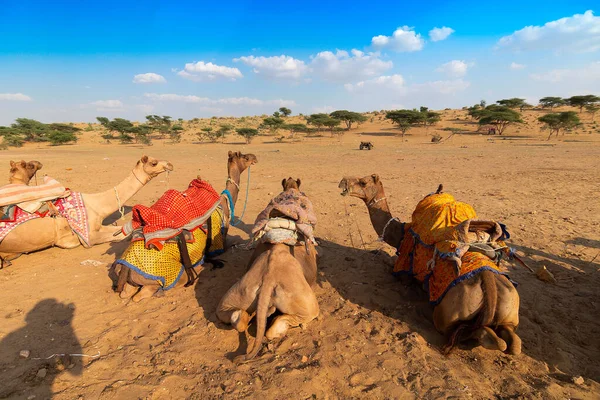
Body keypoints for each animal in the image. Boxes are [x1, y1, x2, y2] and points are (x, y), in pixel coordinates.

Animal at [115, 152, 258, 302]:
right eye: (245, 157)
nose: (254, 157)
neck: (224, 203)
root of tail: (125, 268)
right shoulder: (219, 243)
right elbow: (230, 244)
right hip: (167, 275)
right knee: (143, 293)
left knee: (125, 293)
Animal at [216, 178, 318, 362]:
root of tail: (268, 279)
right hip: (305, 300)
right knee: (297, 318)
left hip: (240, 291)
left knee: (231, 314)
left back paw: (249, 318)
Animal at [340, 175, 524, 354]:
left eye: (363, 182)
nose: (343, 182)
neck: (402, 232)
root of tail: (489, 283)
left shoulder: (404, 270)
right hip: (510, 314)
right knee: (511, 343)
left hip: (446, 317)